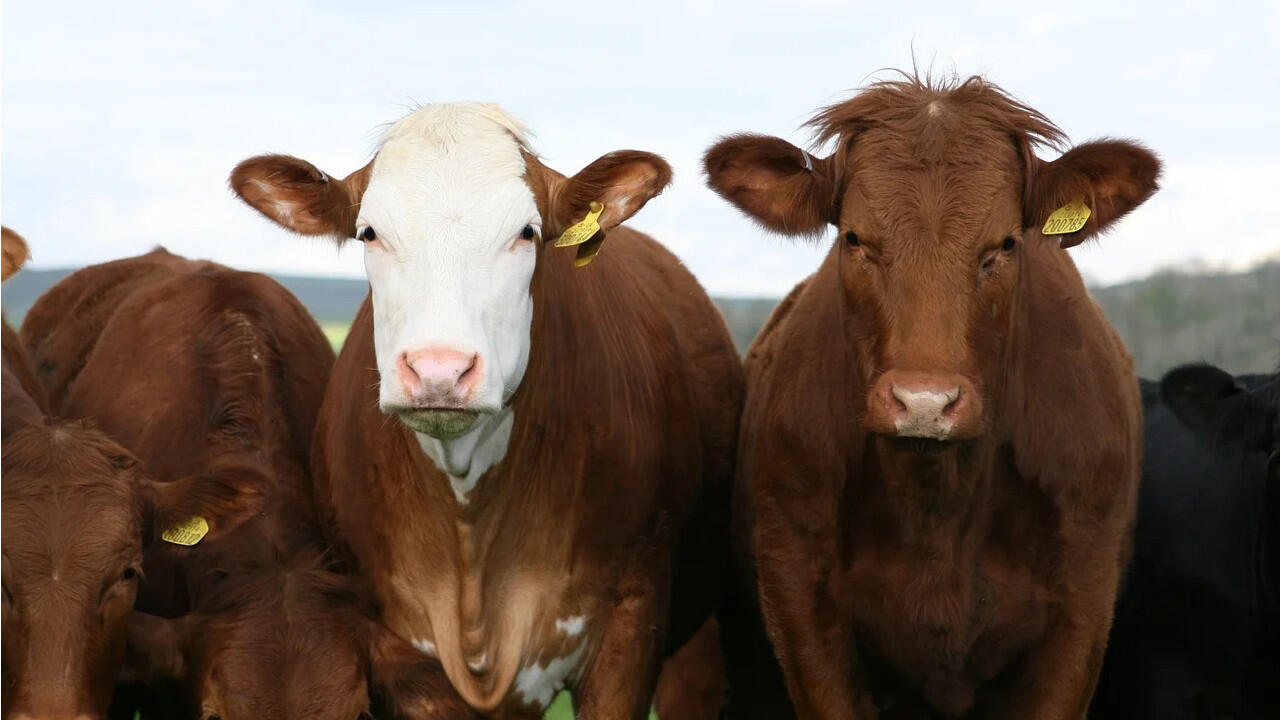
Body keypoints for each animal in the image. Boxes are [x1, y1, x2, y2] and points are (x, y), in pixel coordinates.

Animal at [706, 74, 1157, 717]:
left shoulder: (1082, 609)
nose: (925, 402)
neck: (939, 504)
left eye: (1006, 244)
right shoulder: (799, 602)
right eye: (853, 238)